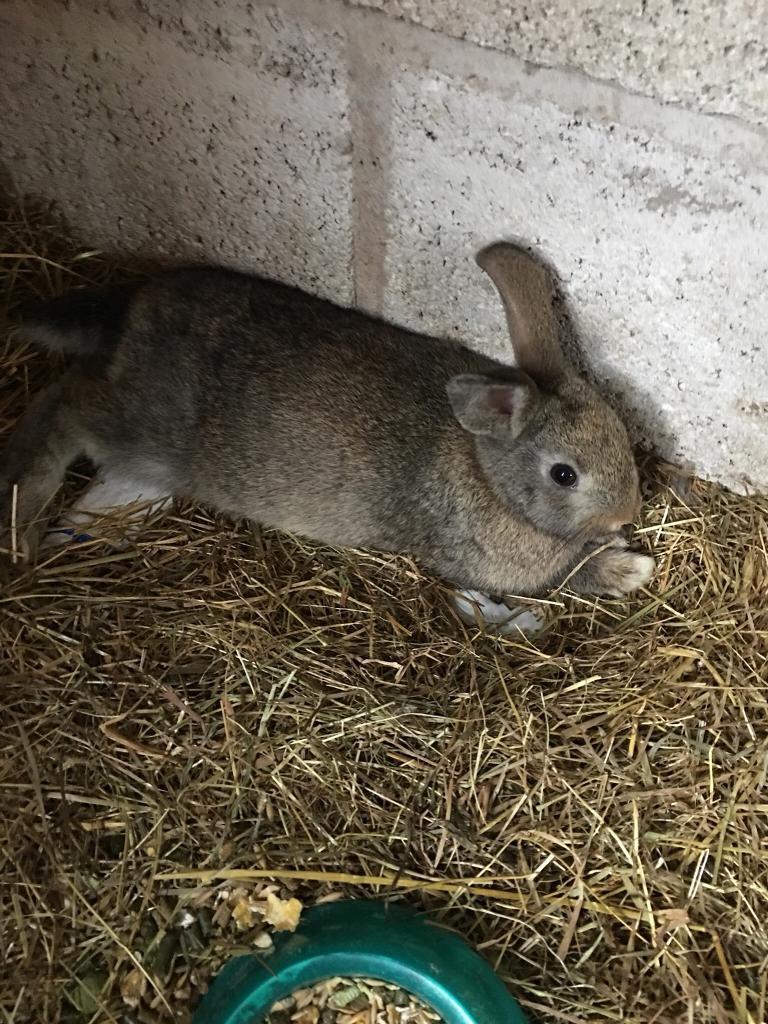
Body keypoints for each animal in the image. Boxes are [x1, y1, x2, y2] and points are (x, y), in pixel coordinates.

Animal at [0, 243, 654, 632]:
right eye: (564, 474)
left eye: (623, 439)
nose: (627, 513)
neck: (487, 472)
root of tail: (138, 305)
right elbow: (563, 575)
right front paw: (628, 571)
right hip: (145, 429)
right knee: (62, 402)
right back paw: (22, 517)